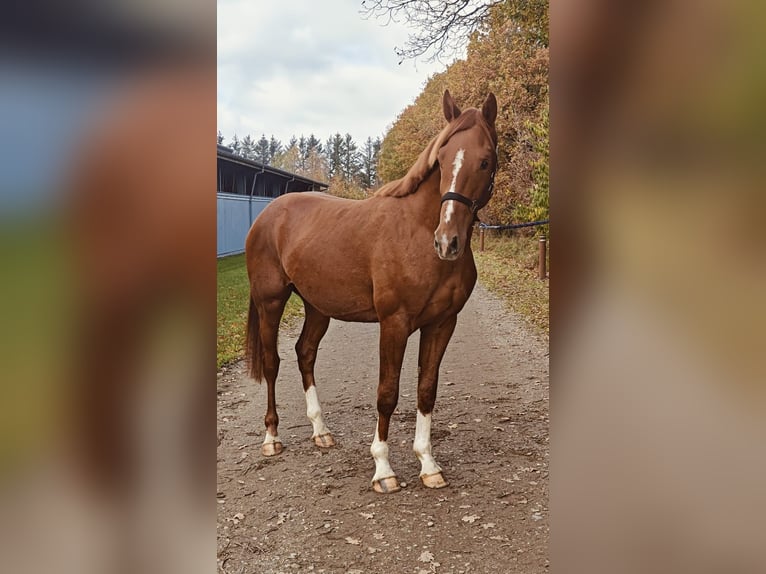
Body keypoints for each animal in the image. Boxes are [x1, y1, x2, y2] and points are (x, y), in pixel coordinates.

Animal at [243, 91, 500, 496]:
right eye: (442, 159)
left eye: (485, 160)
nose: (447, 242)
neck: (417, 232)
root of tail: (269, 214)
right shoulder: (394, 324)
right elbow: (387, 393)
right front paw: (383, 470)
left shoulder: (443, 323)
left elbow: (426, 390)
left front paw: (428, 465)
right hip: (270, 302)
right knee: (272, 364)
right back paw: (272, 438)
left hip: (317, 306)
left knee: (305, 354)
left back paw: (321, 431)